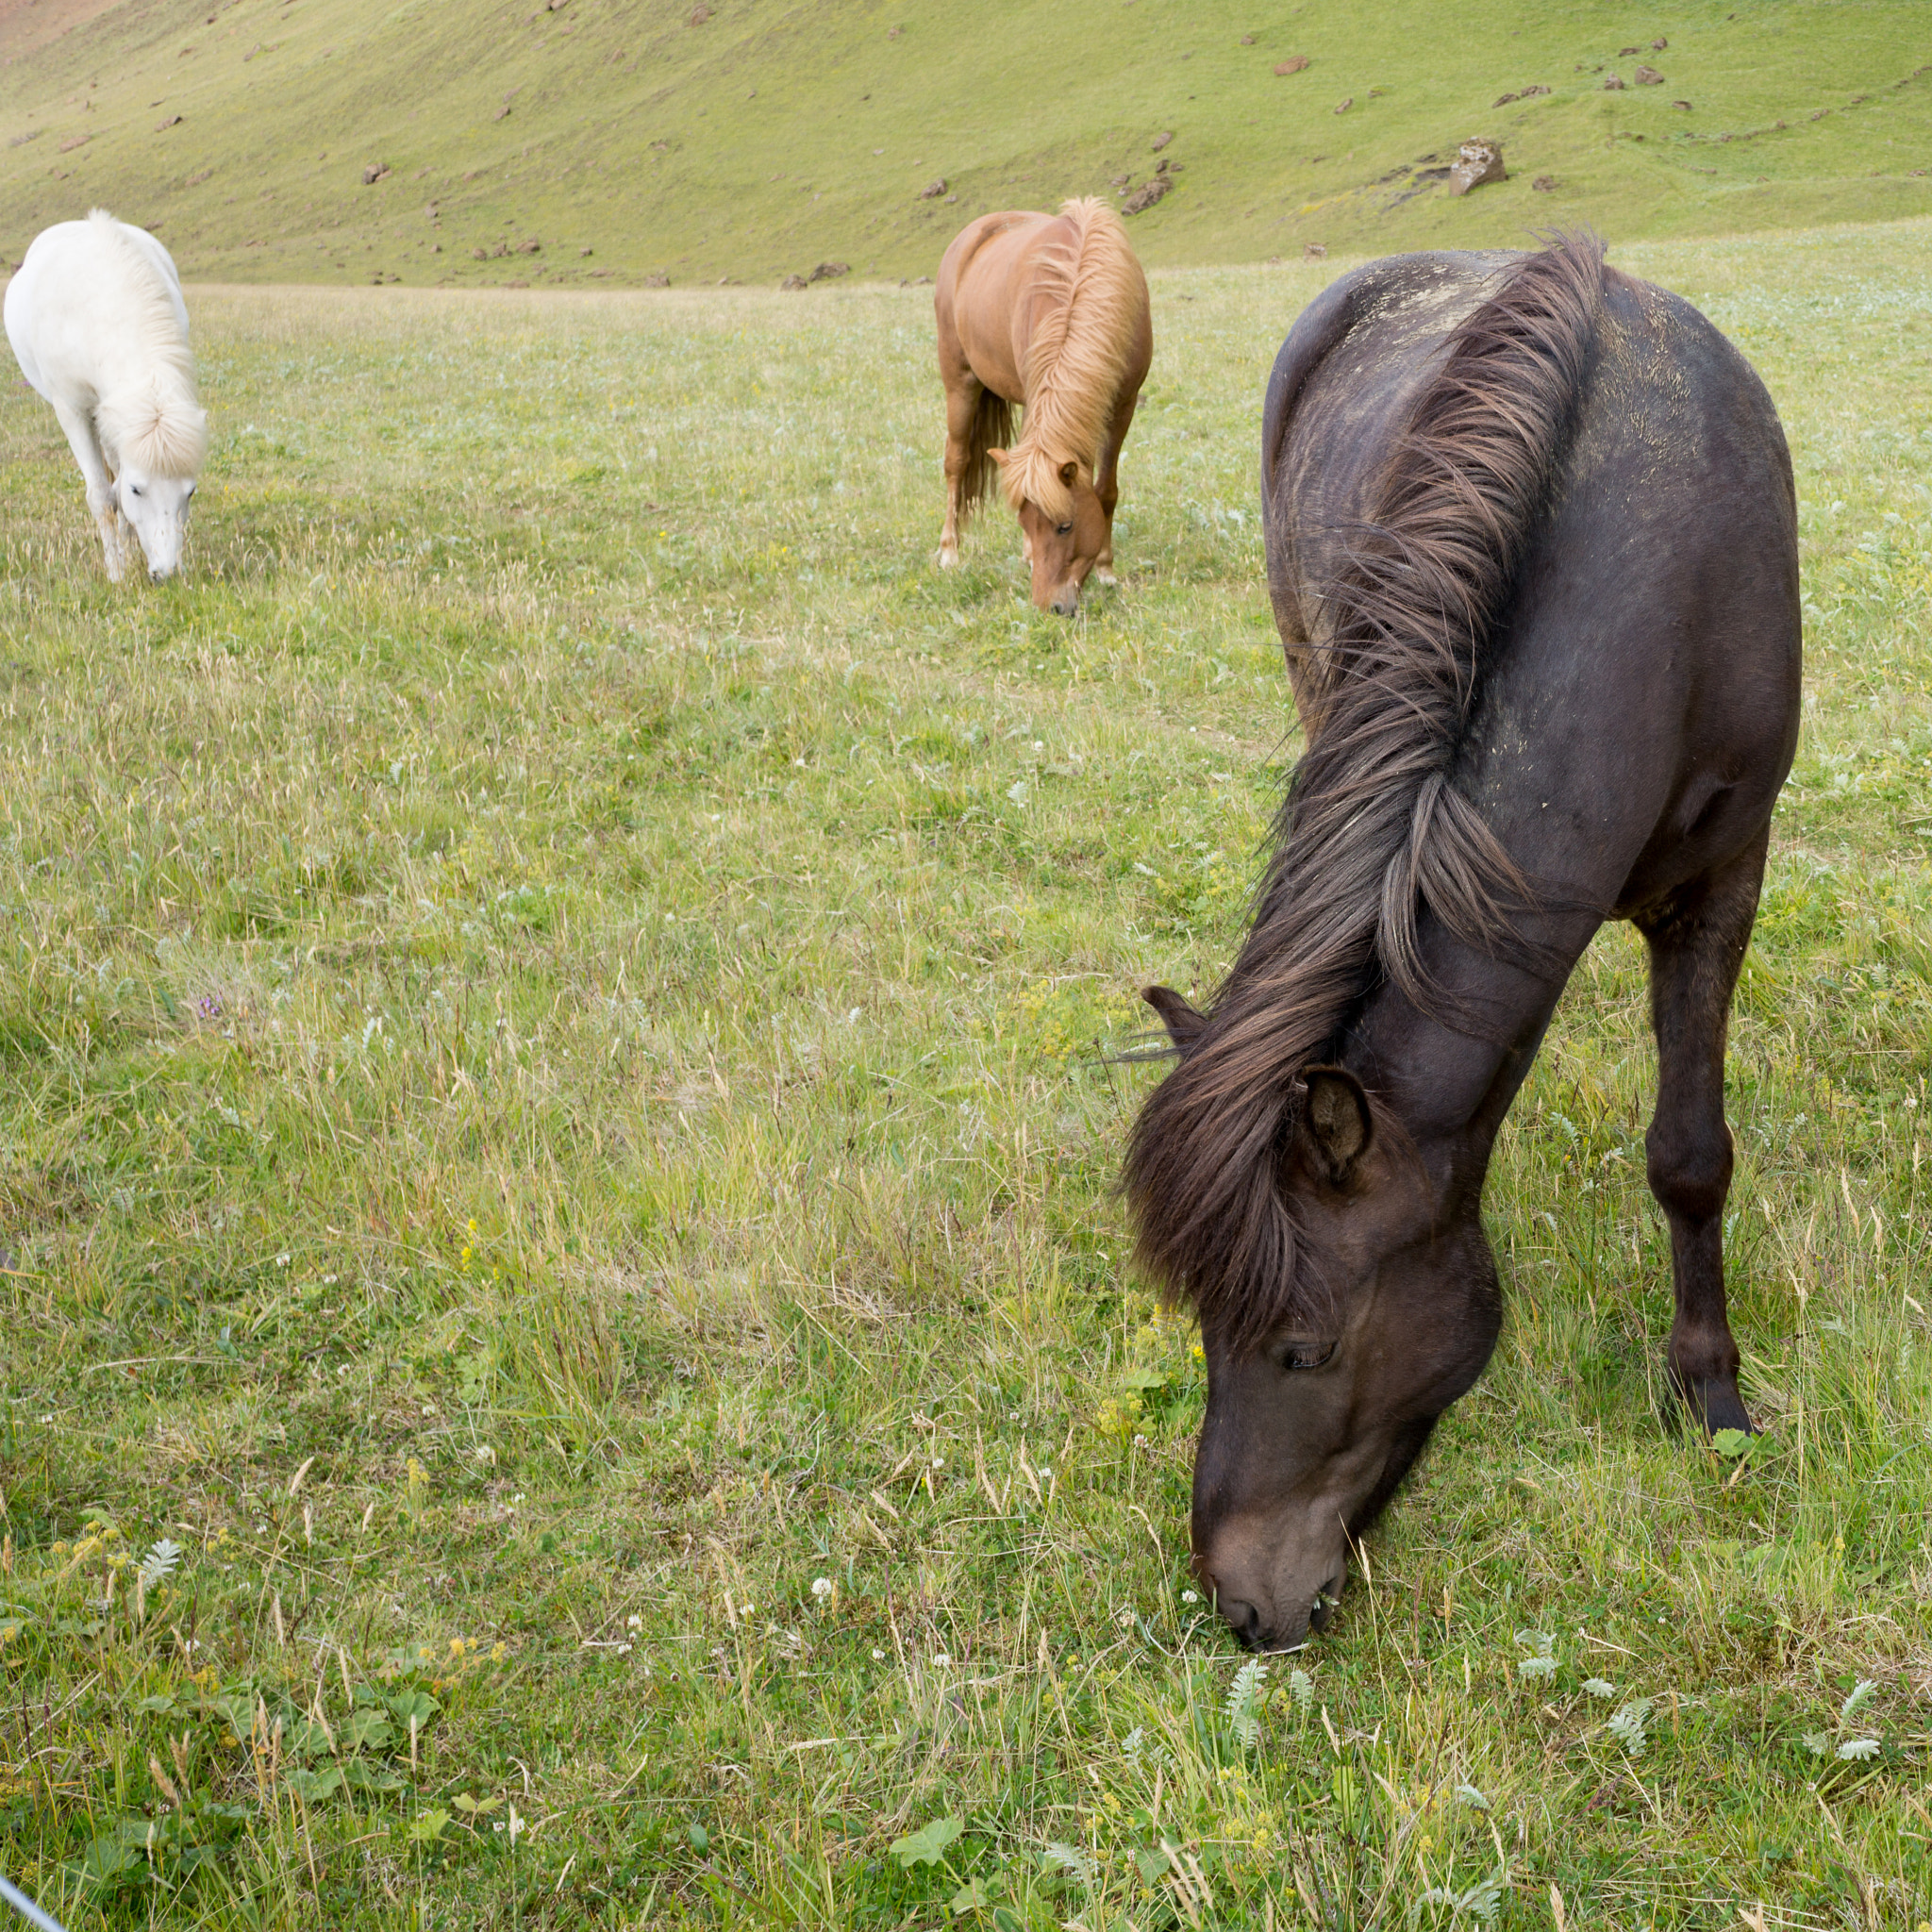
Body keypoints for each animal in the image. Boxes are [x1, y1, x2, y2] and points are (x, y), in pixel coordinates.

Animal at [4, 212, 208, 583]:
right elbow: (102, 494)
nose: (167, 573)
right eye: (137, 489)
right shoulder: (72, 411)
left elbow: (115, 487)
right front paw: (117, 573)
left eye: (191, 491)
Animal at [931, 195, 1143, 610]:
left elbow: (1106, 490)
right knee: (956, 463)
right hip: (959, 382)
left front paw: (1107, 569)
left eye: (1066, 526)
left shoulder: (1123, 406)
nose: (1049, 607)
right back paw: (950, 550)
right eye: (1025, 523)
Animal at [1128, 233, 1800, 1654]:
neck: (1662, 587)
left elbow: (1690, 1157)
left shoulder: (1725, 879)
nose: (1240, 1602)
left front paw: (1709, 1395)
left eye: (1304, 1350)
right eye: (1202, 1329)